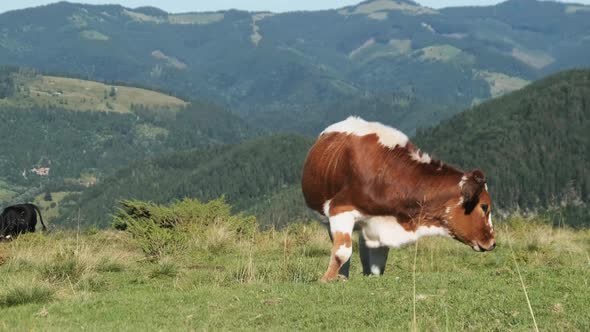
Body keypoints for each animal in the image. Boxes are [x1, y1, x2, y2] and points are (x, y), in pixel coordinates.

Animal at [302, 115, 498, 282]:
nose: (493, 243)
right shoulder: (340, 210)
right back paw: (342, 276)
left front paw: (372, 277)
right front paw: (326, 279)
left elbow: (378, 261)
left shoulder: (380, 224)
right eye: (484, 207)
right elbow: (341, 252)